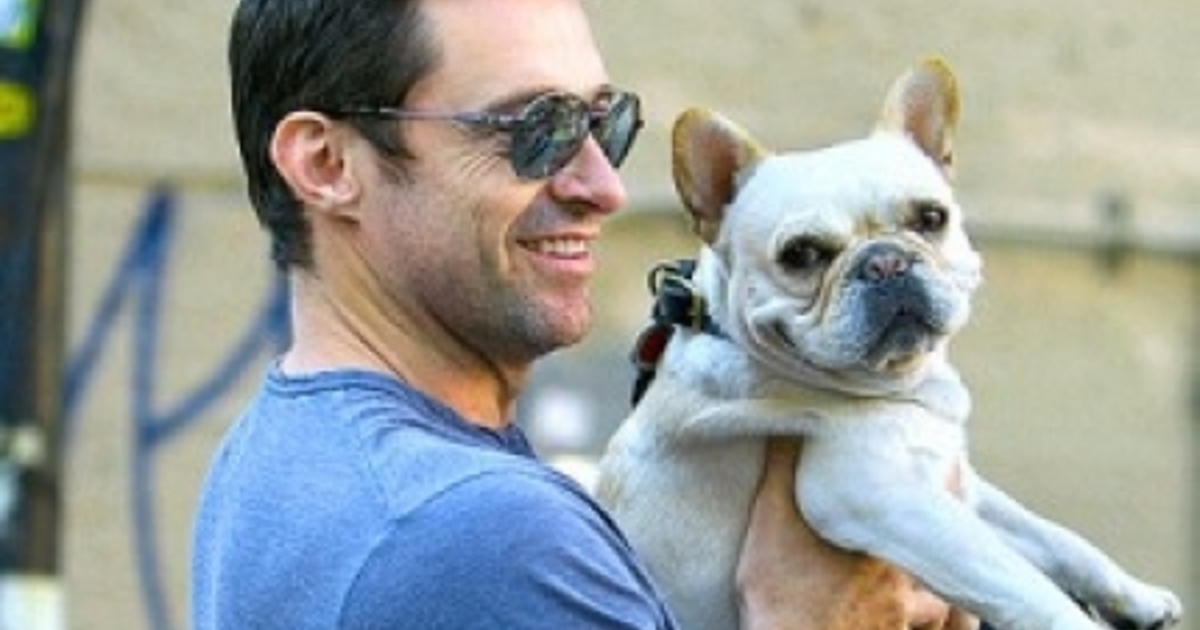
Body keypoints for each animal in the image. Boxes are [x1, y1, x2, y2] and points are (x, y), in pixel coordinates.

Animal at [595, 58, 1182, 630]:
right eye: (801, 254)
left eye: (931, 218)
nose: (885, 262)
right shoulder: (882, 495)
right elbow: (1019, 581)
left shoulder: (956, 483)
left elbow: (1054, 538)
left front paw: (1137, 596)